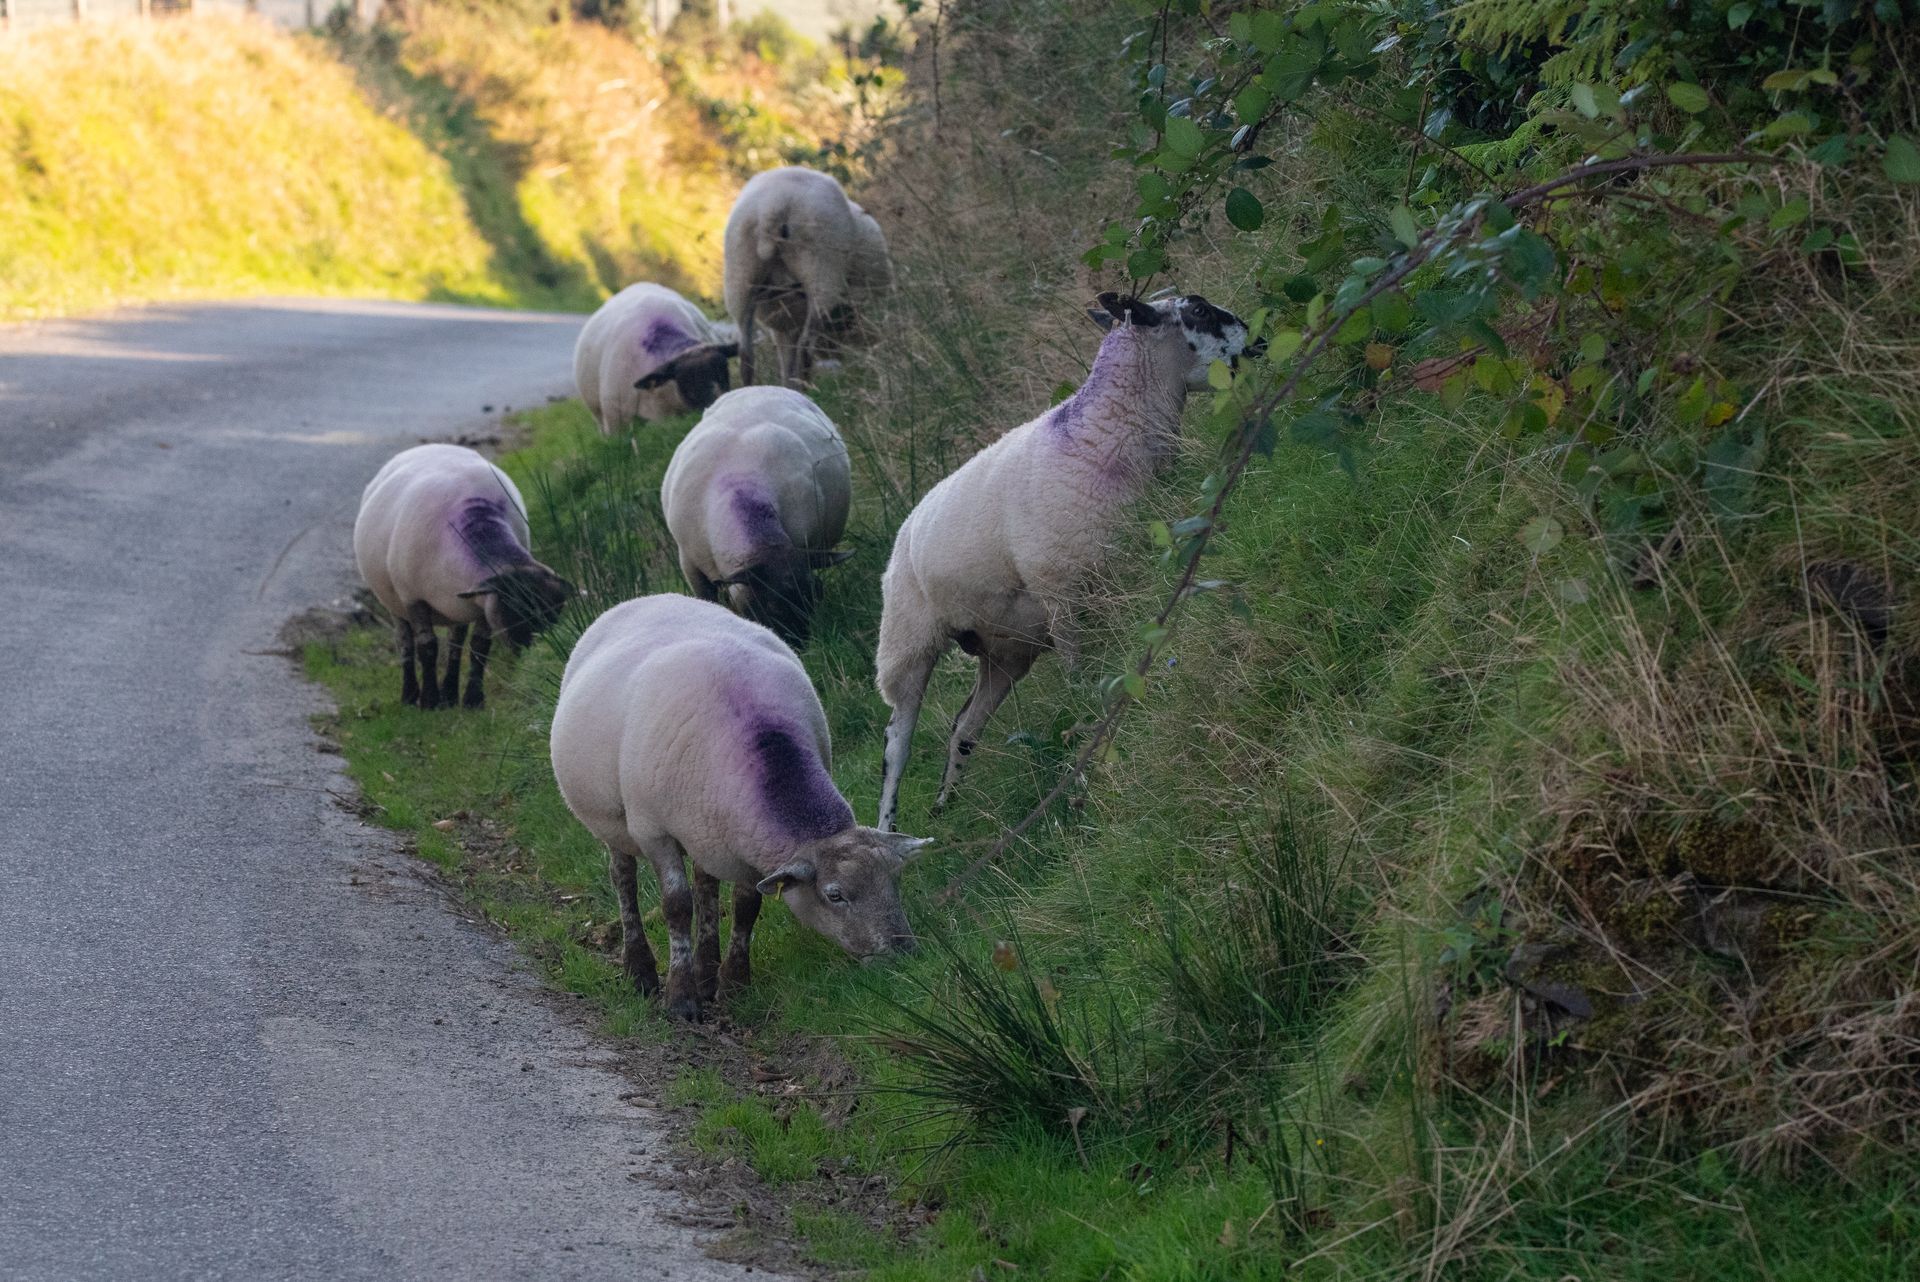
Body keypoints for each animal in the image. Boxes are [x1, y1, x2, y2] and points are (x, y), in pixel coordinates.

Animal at [353, 444, 574, 710]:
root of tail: (426, 446)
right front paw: (429, 701)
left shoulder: (484, 604)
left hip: (457, 606)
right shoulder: (413, 598)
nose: (531, 652)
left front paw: (472, 699)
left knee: (455, 643)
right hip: (394, 602)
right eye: (516, 609)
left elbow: (480, 646)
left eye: (554, 615)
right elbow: (427, 646)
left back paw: (449, 694)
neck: (479, 521)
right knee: (404, 640)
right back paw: (410, 694)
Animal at [550, 594, 929, 1020]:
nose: (904, 953)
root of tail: (648, 598)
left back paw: (707, 970)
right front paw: (681, 999)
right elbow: (676, 906)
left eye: (895, 880)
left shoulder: (749, 842)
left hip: (705, 828)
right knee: (623, 878)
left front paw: (733, 984)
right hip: (613, 822)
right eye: (835, 895)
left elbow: (747, 906)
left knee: (706, 885)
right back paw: (641, 970)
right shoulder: (655, 833)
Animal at [723, 166, 893, 388]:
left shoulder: (783, 328)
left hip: (739, 279)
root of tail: (771, 208)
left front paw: (789, 385)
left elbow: (787, 363)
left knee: (746, 355)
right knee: (806, 345)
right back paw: (807, 388)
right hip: (820, 271)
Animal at [872, 292, 1258, 831]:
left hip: (1007, 648)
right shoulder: (1061, 590)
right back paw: (887, 827)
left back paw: (946, 802)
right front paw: (1084, 713)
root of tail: (905, 525)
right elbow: (1080, 670)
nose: (1258, 335)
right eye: (1198, 311)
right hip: (906, 644)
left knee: (964, 726)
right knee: (896, 743)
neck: (1104, 428)